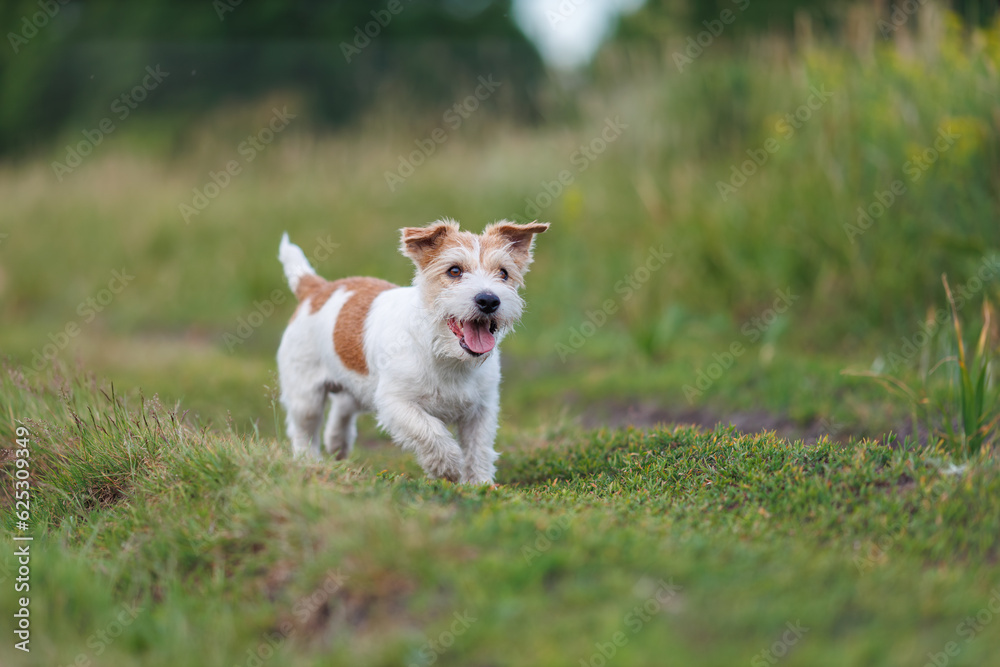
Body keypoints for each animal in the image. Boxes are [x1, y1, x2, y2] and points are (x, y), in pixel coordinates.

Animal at [278, 219, 552, 486]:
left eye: (503, 273)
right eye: (454, 270)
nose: (489, 300)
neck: (446, 355)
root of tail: (316, 289)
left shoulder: (481, 409)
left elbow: (479, 448)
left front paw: (480, 485)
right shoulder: (396, 402)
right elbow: (430, 431)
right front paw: (449, 467)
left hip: (357, 383)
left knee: (344, 405)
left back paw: (337, 443)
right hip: (306, 396)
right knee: (303, 431)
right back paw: (309, 462)